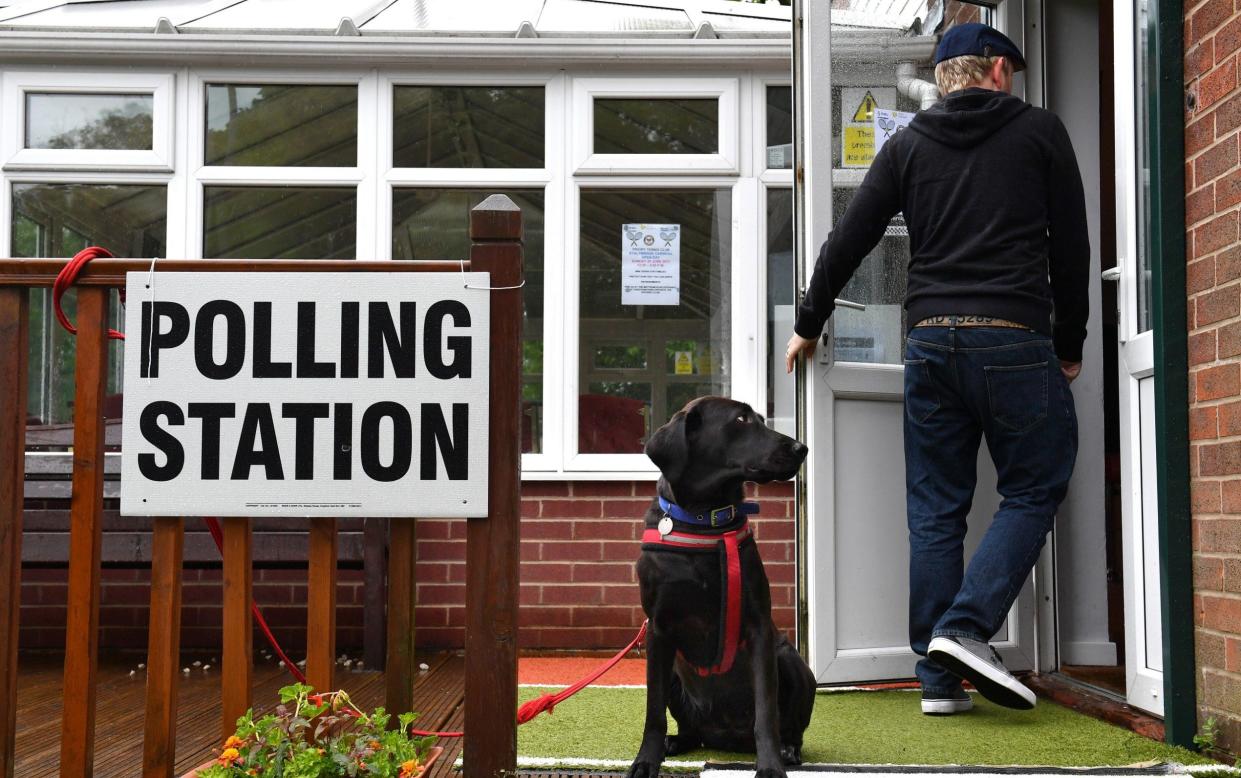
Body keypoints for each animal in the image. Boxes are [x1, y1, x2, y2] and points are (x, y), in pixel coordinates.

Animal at [630, 399, 814, 774]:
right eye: (741, 419)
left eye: (761, 419)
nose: (801, 448)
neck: (704, 521)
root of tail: (724, 738)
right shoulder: (658, 629)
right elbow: (653, 711)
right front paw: (646, 760)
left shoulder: (758, 627)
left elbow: (766, 713)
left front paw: (770, 765)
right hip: (675, 669)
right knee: (690, 730)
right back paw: (675, 742)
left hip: (789, 659)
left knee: (789, 726)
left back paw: (788, 750)